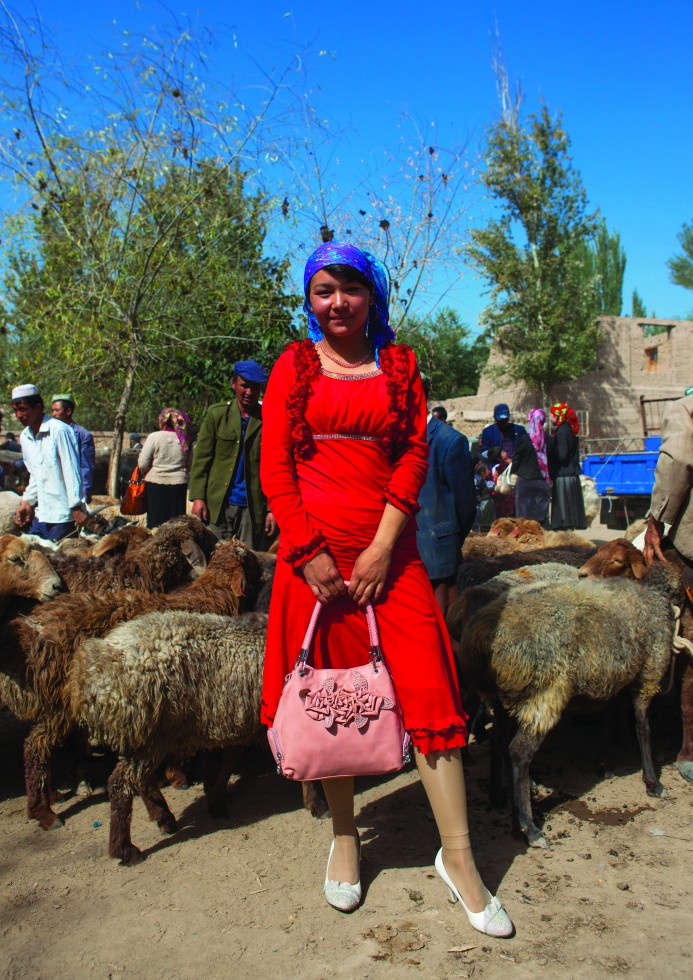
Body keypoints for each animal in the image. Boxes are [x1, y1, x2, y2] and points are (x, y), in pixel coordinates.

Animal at [0, 540, 262, 832]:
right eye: (249, 558)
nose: (264, 568)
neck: (212, 595)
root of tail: (30, 629)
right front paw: (179, 777)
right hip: (61, 705)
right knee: (36, 747)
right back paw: (45, 812)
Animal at [67, 612, 268, 864]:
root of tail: (96, 665)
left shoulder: (237, 720)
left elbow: (230, 759)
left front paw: (217, 799)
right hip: (147, 734)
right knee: (120, 783)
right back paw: (125, 849)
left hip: (147, 737)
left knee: (140, 778)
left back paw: (163, 816)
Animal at [446, 560, 684, 848]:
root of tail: (477, 639)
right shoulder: (649, 669)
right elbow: (643, 727)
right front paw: (652, 782)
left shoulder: (611, 680)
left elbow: (609, 721)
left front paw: (605, 764)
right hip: (544, 694)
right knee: (518, 752)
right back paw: (528, 827)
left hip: (502, 698)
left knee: (499, 740)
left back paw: (498, 795)